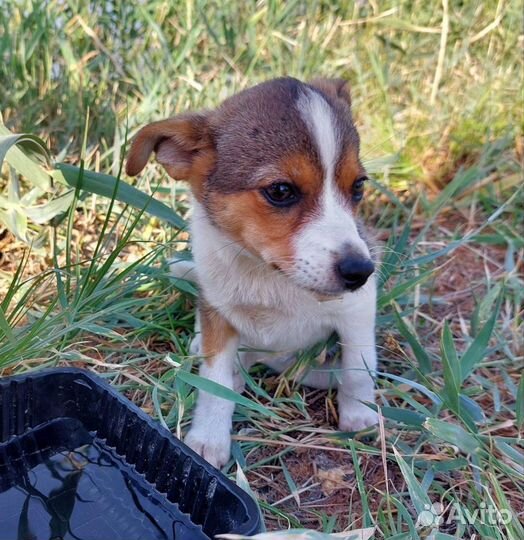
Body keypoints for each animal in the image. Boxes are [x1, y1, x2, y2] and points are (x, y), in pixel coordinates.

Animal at [128, 77, 380, 468]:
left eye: (359, 186)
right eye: (281, 190)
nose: (360, 271)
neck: (266, 275)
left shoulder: (357, 310)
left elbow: (358, 367)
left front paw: (359, 415)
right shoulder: (219, 313)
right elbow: (214, 383)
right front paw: (209, 437)